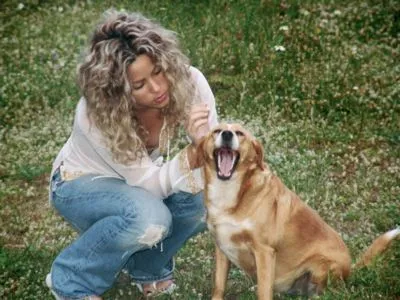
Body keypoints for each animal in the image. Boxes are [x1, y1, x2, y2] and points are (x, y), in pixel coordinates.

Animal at [198, 123, 400, 298]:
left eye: (240, 133)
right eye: (217, 131)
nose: (227, 134)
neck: (230, 193)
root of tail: (350, 270)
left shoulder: (264, 250)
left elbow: (263, 292)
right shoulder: (222, 248)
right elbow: (219, 286)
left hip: (321, 266)